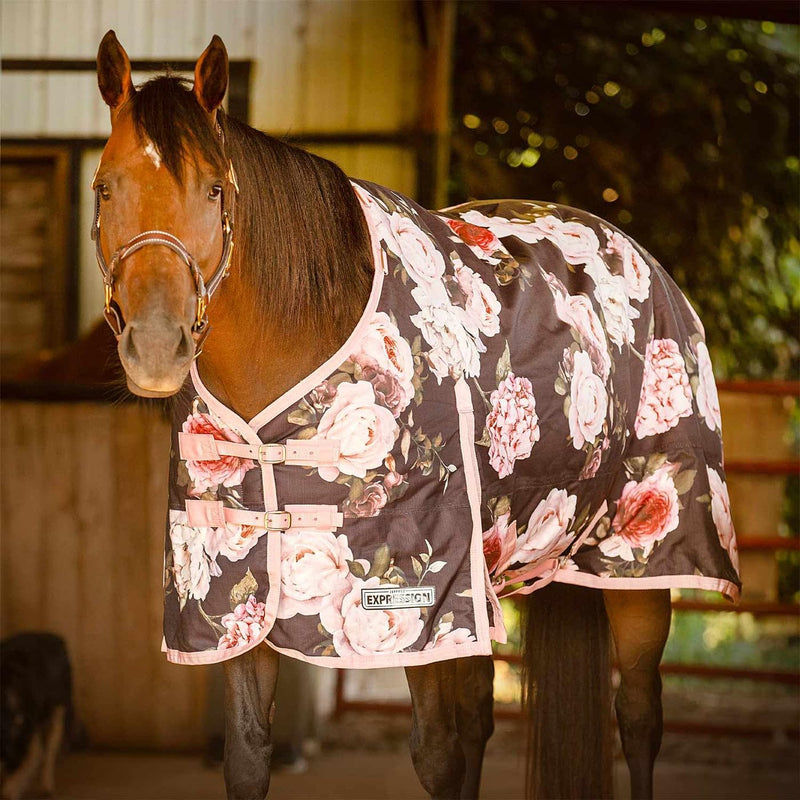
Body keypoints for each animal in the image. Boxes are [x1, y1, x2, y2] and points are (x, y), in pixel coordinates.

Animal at [91, 30, 739, 800]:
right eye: (105, 187)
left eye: (214, 188)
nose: (156, 347)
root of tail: (630, 247)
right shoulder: (232, 601)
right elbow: (249, 756)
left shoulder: (420, 603)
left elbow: (437, 755)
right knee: (484, 720)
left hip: (636, 566)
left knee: (638, 719)